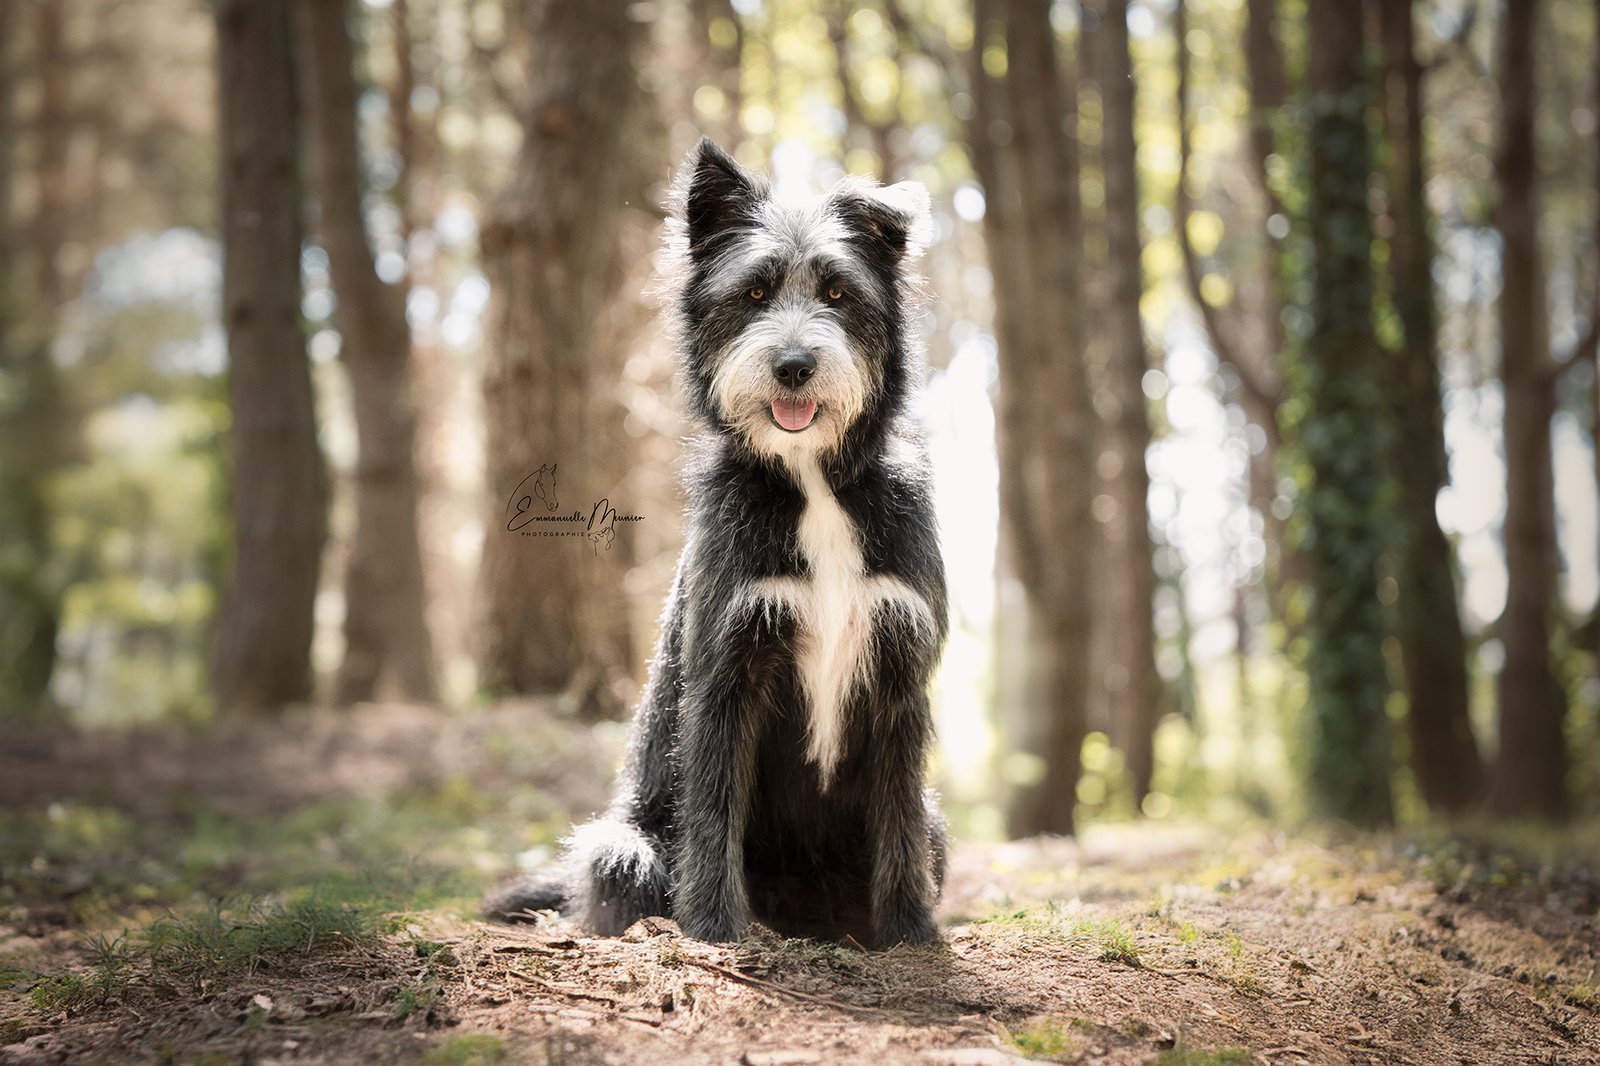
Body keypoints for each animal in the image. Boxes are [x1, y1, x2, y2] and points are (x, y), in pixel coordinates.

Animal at [486, 140, 947, 947]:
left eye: (837, 294)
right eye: (756, 293)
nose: (793, 365)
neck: (813, 483)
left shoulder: (900, 665)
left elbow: (897, 814)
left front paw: (910, 932)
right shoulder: (727, 668)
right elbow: (712, 806)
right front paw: (713, 928)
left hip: (939, 827)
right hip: (619, 847)